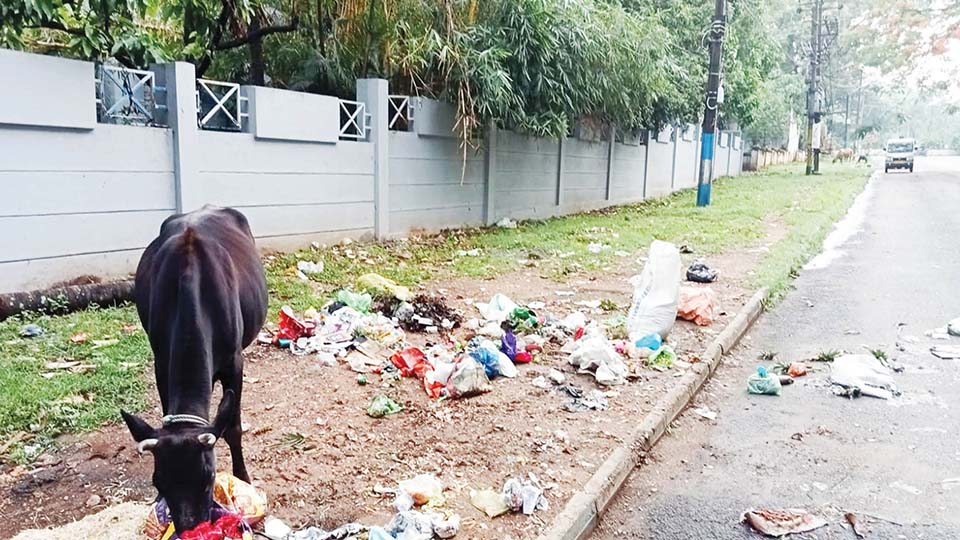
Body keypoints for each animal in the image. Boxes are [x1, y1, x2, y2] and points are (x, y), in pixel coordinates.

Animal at [123, 207, 270, 532]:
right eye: (158, 482)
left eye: (208, 478)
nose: (190, 528)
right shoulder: (161, 363)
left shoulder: (234, 362)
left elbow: (233, 428)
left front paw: (243, 479)